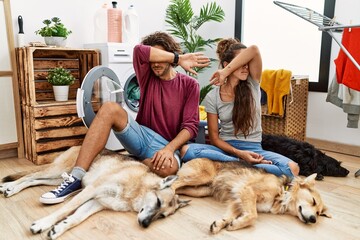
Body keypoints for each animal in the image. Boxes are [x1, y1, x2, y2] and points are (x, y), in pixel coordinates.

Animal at [172, 158, 332, 233]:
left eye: (318, 213)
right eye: (312, 201)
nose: (313, 220)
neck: (282, 192)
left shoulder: (237, 200)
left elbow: (230, 216)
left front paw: (221, 224)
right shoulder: (247, 190)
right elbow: (253, 216)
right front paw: (235, 224)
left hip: (199, 191)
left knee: (179, 188)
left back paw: (176, 201)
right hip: (201, 177)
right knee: (173, 184)